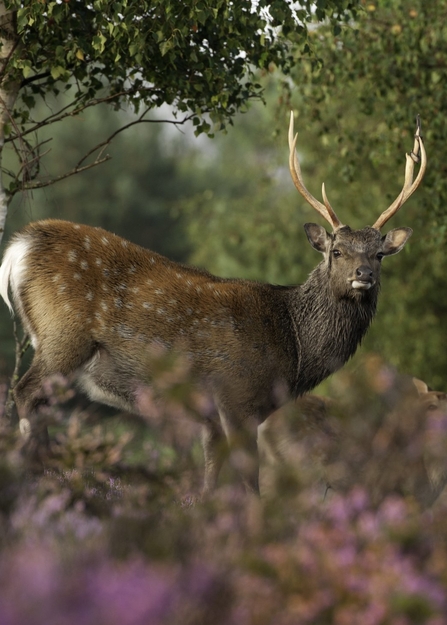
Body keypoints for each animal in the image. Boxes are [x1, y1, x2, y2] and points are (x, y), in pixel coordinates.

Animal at [0, 112, 428, 492]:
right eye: (337, 251)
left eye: (379, 254)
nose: (364, 275)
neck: (294, 346)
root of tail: (19, 248)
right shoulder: (236, 395)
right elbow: (250, 483)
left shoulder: (210, 416)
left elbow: (209, 480)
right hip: (63, 334)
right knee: (25, 393)